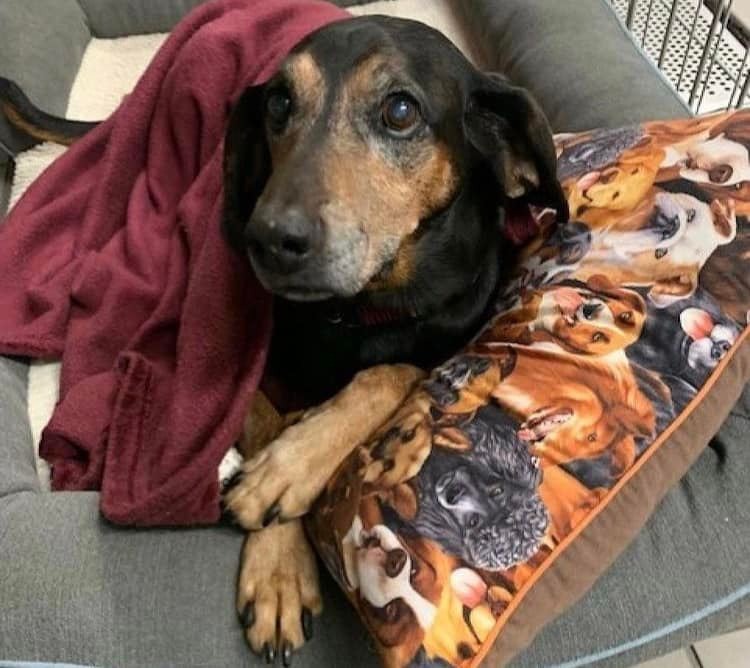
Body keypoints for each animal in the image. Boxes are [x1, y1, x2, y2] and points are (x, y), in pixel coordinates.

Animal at [0, 14, 568, 664]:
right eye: (278, 103)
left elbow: (393, 373)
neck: (362, 310)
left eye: (400, 110)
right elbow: (266, 419)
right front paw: (277, 539)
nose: (266, 240)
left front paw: (317, 459)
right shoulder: (238, 365)